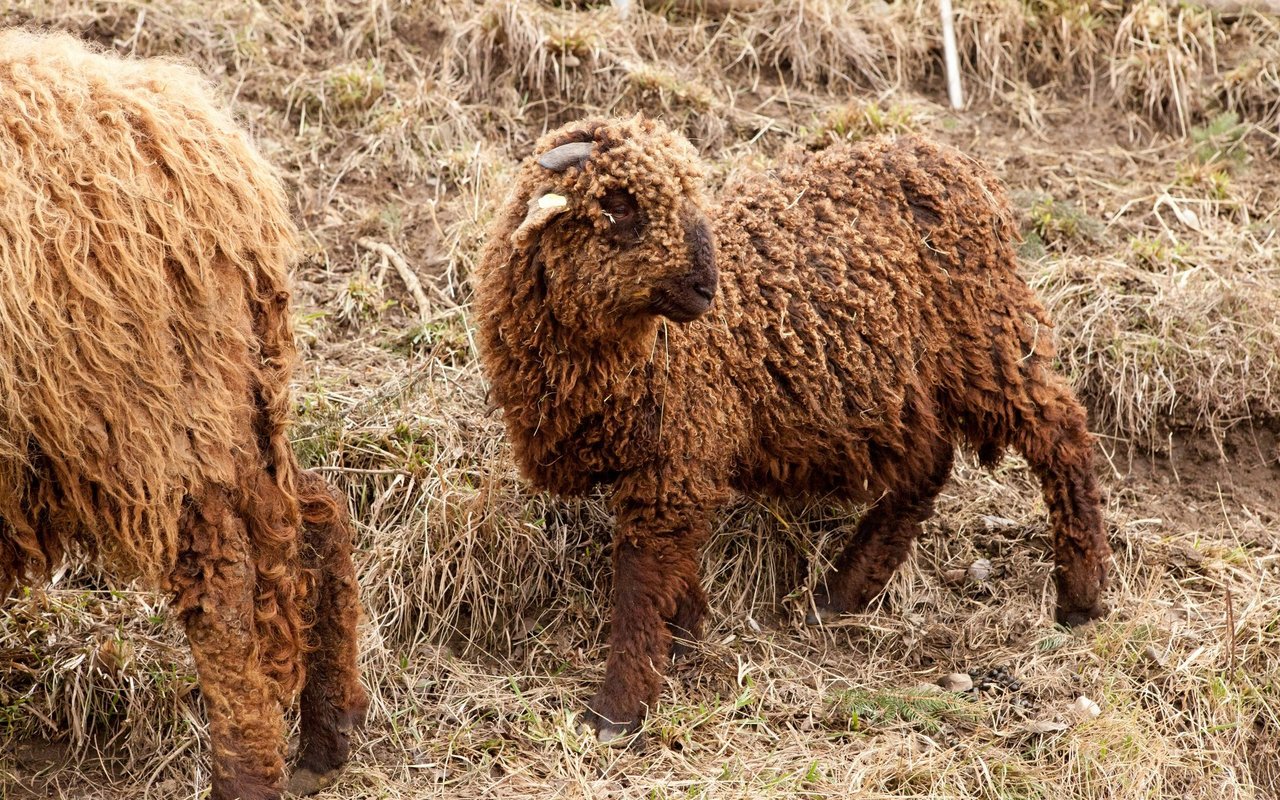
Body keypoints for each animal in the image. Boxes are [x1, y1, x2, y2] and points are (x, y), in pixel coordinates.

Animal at [1, 28, 371, 793]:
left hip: (146, 417)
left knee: (223, 597)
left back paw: (248, 779)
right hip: (226, 402)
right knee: (320, 514)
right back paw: (327, 739)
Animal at [476, 115, 1116, 737]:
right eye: (617, 204)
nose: (707, 289)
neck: (640, 354)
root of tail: (963, 166)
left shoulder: (674, 460)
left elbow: (638, 584)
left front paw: (616, 711)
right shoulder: (677, 464)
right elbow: (669, 569)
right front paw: (684, 636)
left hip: (986, 341)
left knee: (1061, 431)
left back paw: (1080, 597)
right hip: (906, 384)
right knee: (928, 466)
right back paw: (840, 593)